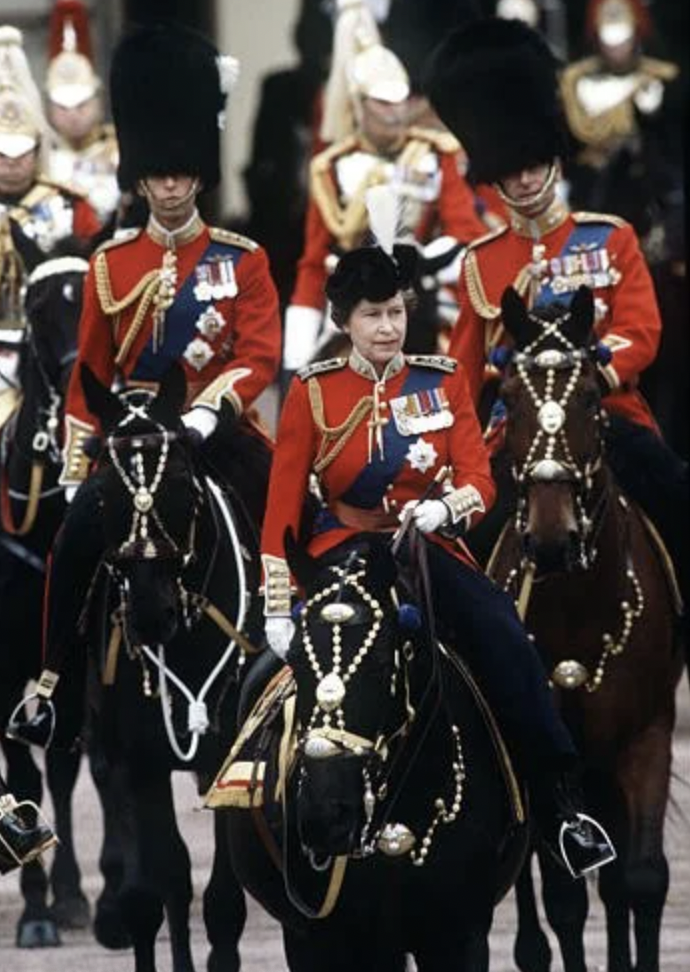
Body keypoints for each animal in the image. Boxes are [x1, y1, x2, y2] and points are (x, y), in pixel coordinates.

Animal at [74, 364, 264, 972]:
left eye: (181, 484)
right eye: (105, 494)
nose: (149, 614)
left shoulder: (231, 756)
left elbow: (222, 901)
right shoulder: (137, 759)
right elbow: (158, 889)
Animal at [484, 286, 684, 972]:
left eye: (592, 397)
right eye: (509, 397)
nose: (550, 539)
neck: (577, 604)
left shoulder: (646, 734)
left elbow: (640, 879)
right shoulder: (553, 755)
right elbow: (566, 900)